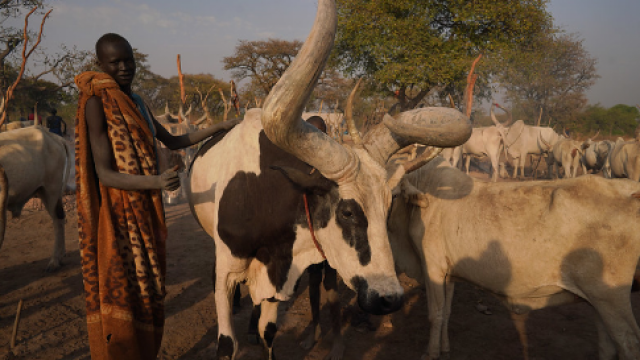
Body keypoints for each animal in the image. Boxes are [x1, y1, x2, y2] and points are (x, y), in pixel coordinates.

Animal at [0, 126, 72, 270]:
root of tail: (54, 137)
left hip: (52, 190)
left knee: (58, 220)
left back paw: (54, 261)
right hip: (43, 191)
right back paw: (61, 255)